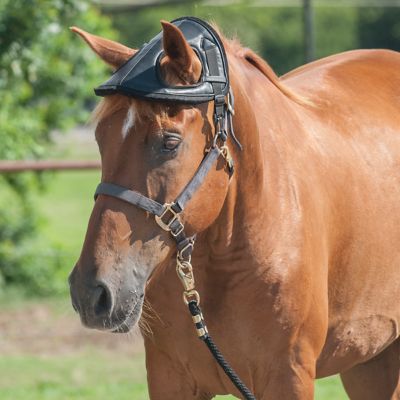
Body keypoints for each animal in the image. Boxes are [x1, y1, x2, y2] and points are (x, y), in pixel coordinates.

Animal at [68, 17, 400, 398]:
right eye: (100, 138)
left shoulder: (289, 376)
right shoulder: (170, 377)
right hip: (370, 361)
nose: (91, 292)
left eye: (170, 143)